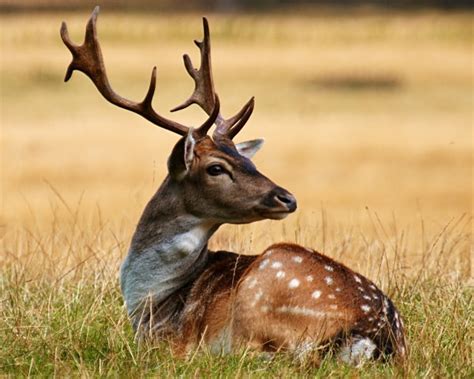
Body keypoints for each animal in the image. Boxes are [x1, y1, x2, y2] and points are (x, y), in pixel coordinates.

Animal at [61, 7, 406, 366]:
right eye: (218, 167)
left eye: (248, 162)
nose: (288, 198)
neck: (148, 300)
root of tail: (374, 331)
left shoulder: (165, 342)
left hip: (265, 290)